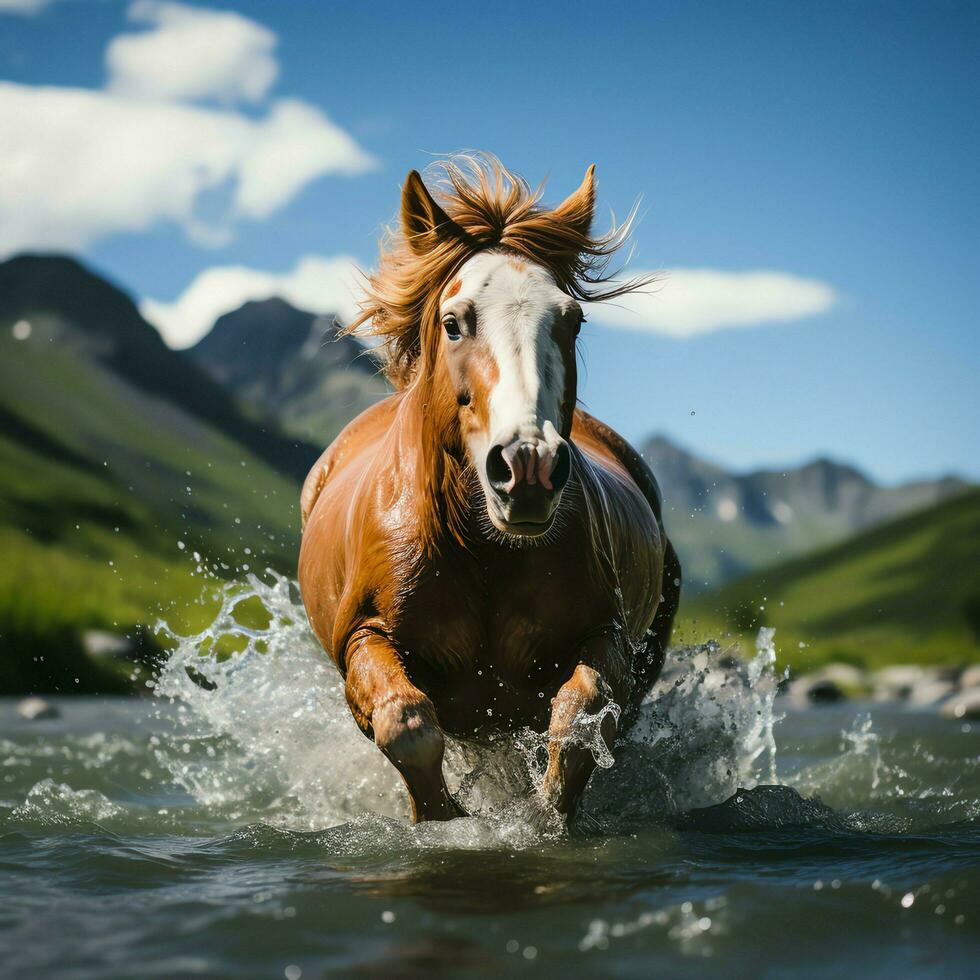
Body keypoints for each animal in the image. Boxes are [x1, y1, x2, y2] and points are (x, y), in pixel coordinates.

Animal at [298, 157, 680, 824]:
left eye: (572, 320)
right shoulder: (365, 637)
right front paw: (442, 817)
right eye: (453, 323)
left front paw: (548, 813)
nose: (528, 468)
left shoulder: (603, 637)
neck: (477, 551)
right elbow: (405, 722)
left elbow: (579, 722)